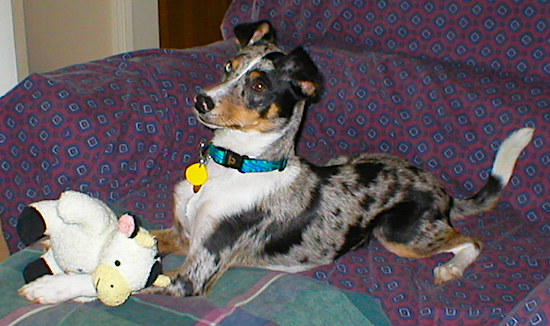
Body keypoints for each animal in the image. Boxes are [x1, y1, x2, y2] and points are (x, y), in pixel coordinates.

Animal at [150, 19, 536, 296]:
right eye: (228, 66)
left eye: (259, 86)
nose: (201, 100)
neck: (237, 165)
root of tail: (441, 189)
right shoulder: (183, 237)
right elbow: (146, 237)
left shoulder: (194, 274)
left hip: (400, 233)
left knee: (470, 240)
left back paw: (452, 268)